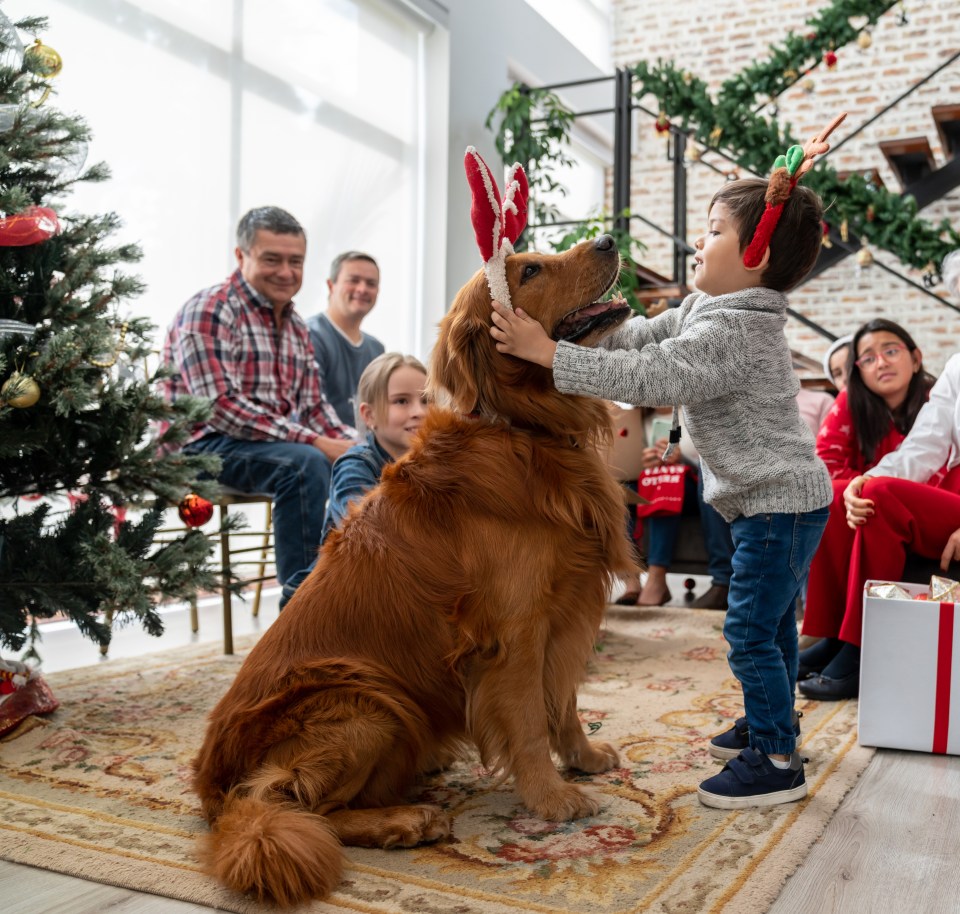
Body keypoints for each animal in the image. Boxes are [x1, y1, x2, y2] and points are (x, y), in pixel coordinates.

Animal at [189, 235, 636, 904]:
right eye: (529, 269)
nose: (609, 240)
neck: (523, 427)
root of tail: (211, 787)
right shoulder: (516, 632)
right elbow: (531, 717)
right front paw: (552, 797)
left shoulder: (563, 612)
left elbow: (564, 702)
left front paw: (581, 758)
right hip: (367, 702)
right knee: (294, 805)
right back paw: (405, 820)